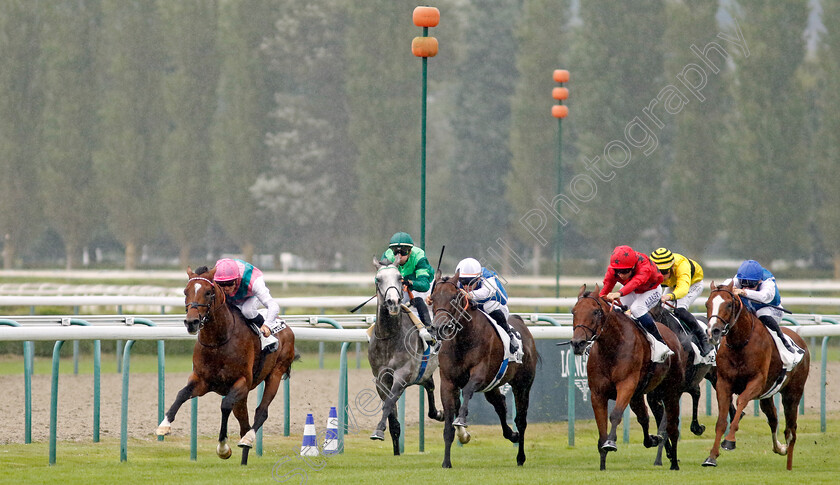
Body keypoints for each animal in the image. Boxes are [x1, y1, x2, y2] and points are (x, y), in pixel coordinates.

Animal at [156, 266, 296, 464]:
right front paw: (164, 425)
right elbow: (182, 394)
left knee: (261, 411)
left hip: (275, 374)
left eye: (208, 292)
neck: (218, 342)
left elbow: (225, 405)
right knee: (244, 421)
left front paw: (223, 448)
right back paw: (244, 457)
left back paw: (248, 439)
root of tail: (286, 327)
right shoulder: (202, 381)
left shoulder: (242, 382)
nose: (191, 322)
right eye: (185, 292)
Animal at [370, 258, 446, 454]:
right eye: (378, 279)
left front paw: (378, 430)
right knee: (430, 385)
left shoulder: (402, 375)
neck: (390, 337)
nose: (393, 302)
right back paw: (438, 413)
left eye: (400, 278)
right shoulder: (381, 379)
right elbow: (393, 419)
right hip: (423, 372)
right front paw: (395, 449)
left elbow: (389, 403)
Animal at [426, 270, 540, 466]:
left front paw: (461, 421)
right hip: (492, 385)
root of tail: (524, 326)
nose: (439, 327)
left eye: (454, 298)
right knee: (500, 404)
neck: (463, 340)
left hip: (522, 385)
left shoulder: (479, 374)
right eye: (433, 298)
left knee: (521, 420)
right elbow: (448, 427)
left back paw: (520, 456)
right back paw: (512, 435)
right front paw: (447, 462)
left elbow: (468, 391)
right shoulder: (448, 382)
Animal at [568, 284, 684, 468]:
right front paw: (602, 462)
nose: (577, 343)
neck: (612, 347)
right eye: (573, 311)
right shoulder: (597, 393)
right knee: (644, 418)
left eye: (595, 312)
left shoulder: (626, 385)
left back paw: (674, 462)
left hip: (671, 392)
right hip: (641, 395)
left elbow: (615, 414)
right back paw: (653, 441)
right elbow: (601, 427)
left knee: (672, 426)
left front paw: (611, 443)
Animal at [704, 280, 812, 468]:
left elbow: (740, 401)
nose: (713, 331)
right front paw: (712, 456)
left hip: (793, 394)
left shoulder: (756, 382)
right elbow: (721, 420)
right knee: (774, 419)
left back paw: (789, 463)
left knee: (791, 430)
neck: (740, 344)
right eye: (707, 304)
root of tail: (801, 341)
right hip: (767, 396)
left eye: (729, 304)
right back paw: (779, 448)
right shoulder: (723, 383)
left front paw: (729, 441)